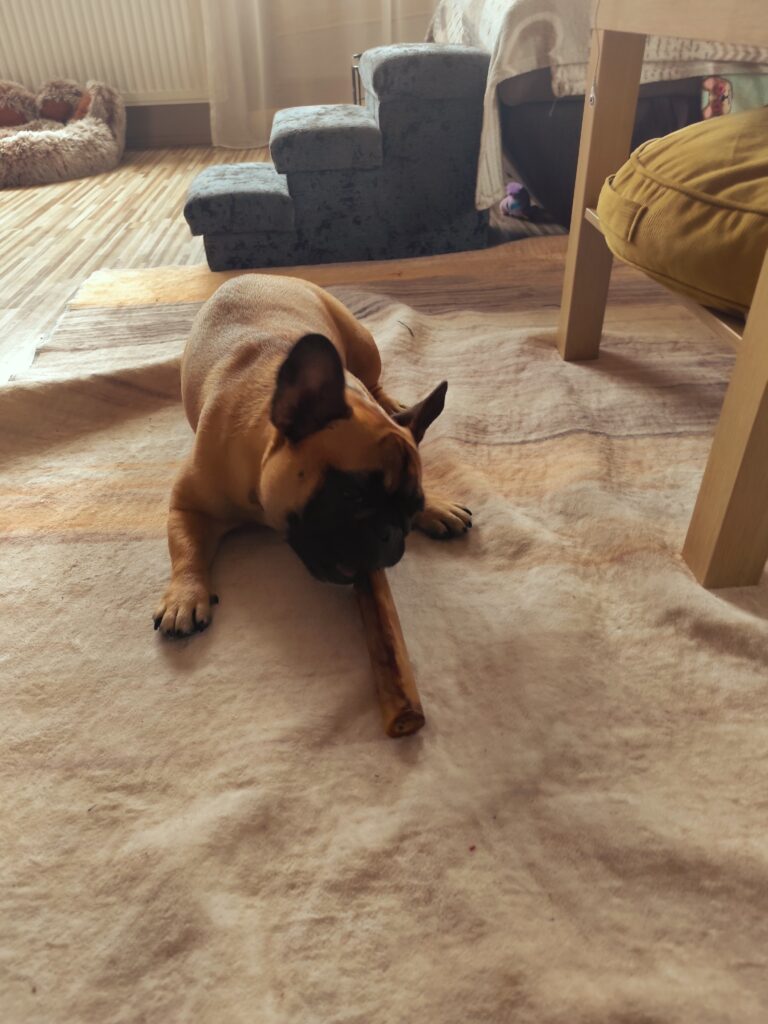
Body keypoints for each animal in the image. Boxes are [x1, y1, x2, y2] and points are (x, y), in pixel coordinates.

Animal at [153, 275, 472, 637]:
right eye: (351, 494)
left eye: (413, 506)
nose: (392, 534)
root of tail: (256, 276)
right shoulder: (188, 506)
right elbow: (185, 547)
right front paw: (185, 596)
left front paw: (436, 507)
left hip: (362, 346)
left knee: (377, 385)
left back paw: (393, 406)